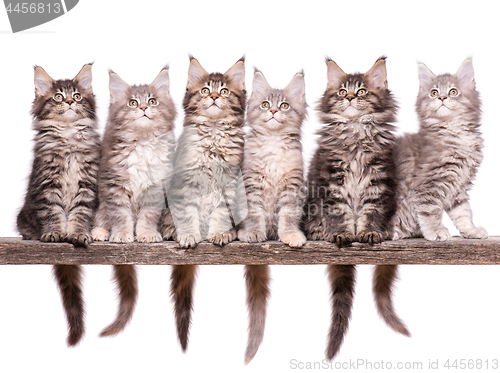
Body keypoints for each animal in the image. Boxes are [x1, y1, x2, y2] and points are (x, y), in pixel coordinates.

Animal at [16, 64, 100, 346]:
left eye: (77, 96)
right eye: (58, 97)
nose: (70, 103)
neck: (69, 138)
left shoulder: (87, 186)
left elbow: (79, 216)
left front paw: (77, 235)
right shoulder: (47, 186)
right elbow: (53, 214)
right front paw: (55, 233)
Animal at [92, 66, 178, 338]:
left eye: (152, 101)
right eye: (132, 103)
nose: (142, 108)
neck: (142, 143)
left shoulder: (156, 187)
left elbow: (148, 216)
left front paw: (147, 235)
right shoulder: (114, 184)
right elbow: (120, 215)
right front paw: (121, 235)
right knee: (101, 216)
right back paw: (99, 232)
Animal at [390, 56, 488, 240]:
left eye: (453, 91)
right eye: (433, 92)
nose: (442, 97)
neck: (453, 132)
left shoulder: (459, 186)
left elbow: (463, 213)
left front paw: (471, 230)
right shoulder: (427, 183)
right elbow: (429, 210)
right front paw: (435, 231)